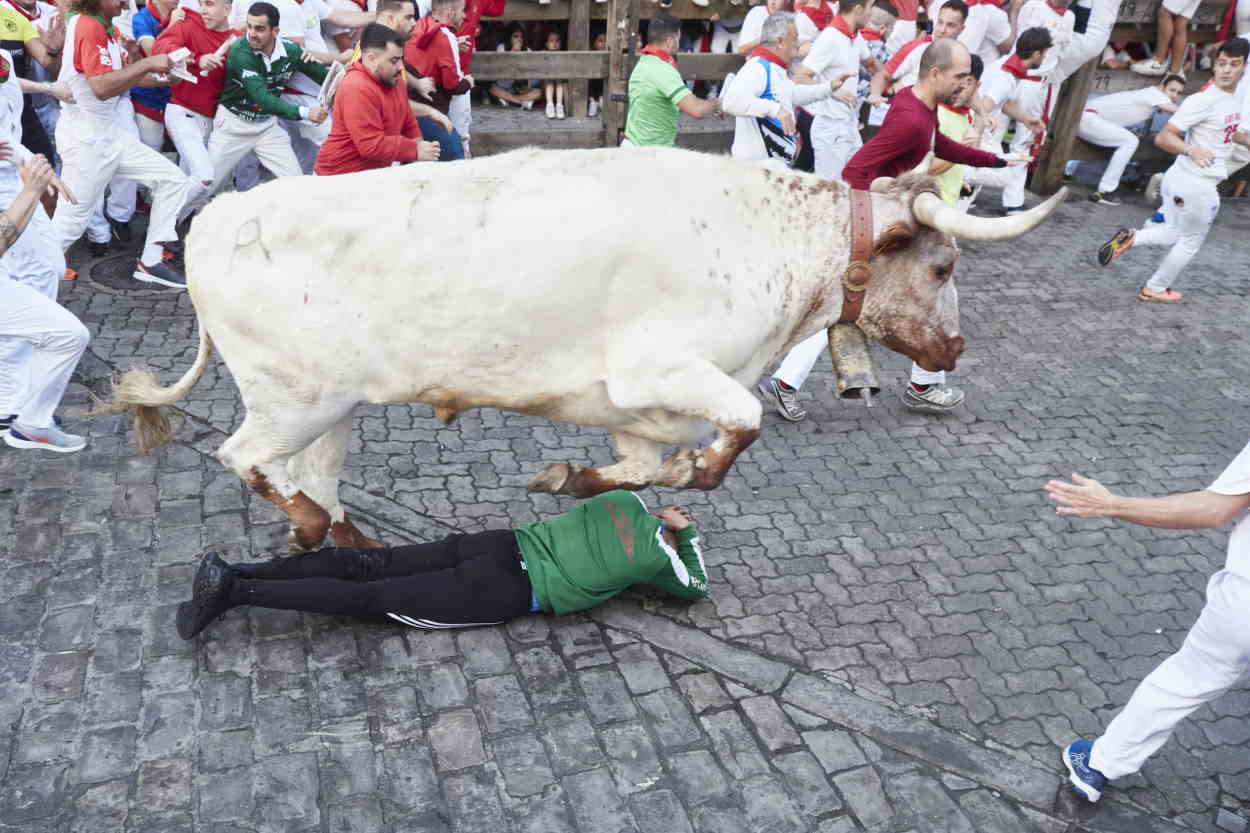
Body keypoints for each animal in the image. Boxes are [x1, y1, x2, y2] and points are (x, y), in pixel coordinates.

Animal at [102, 145, 1070, 547]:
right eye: (944, 264)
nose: (954, 348)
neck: (769, 238)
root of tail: (222, 215)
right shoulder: (658, 368)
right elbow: (742, 424)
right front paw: (687, 467)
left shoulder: (637, 408)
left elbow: (645, 470)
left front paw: (569, 477)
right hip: (292, 396)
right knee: (245, 456)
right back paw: (311, 529)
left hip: (334, 404)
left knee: (317, 475)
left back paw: (351, 545)